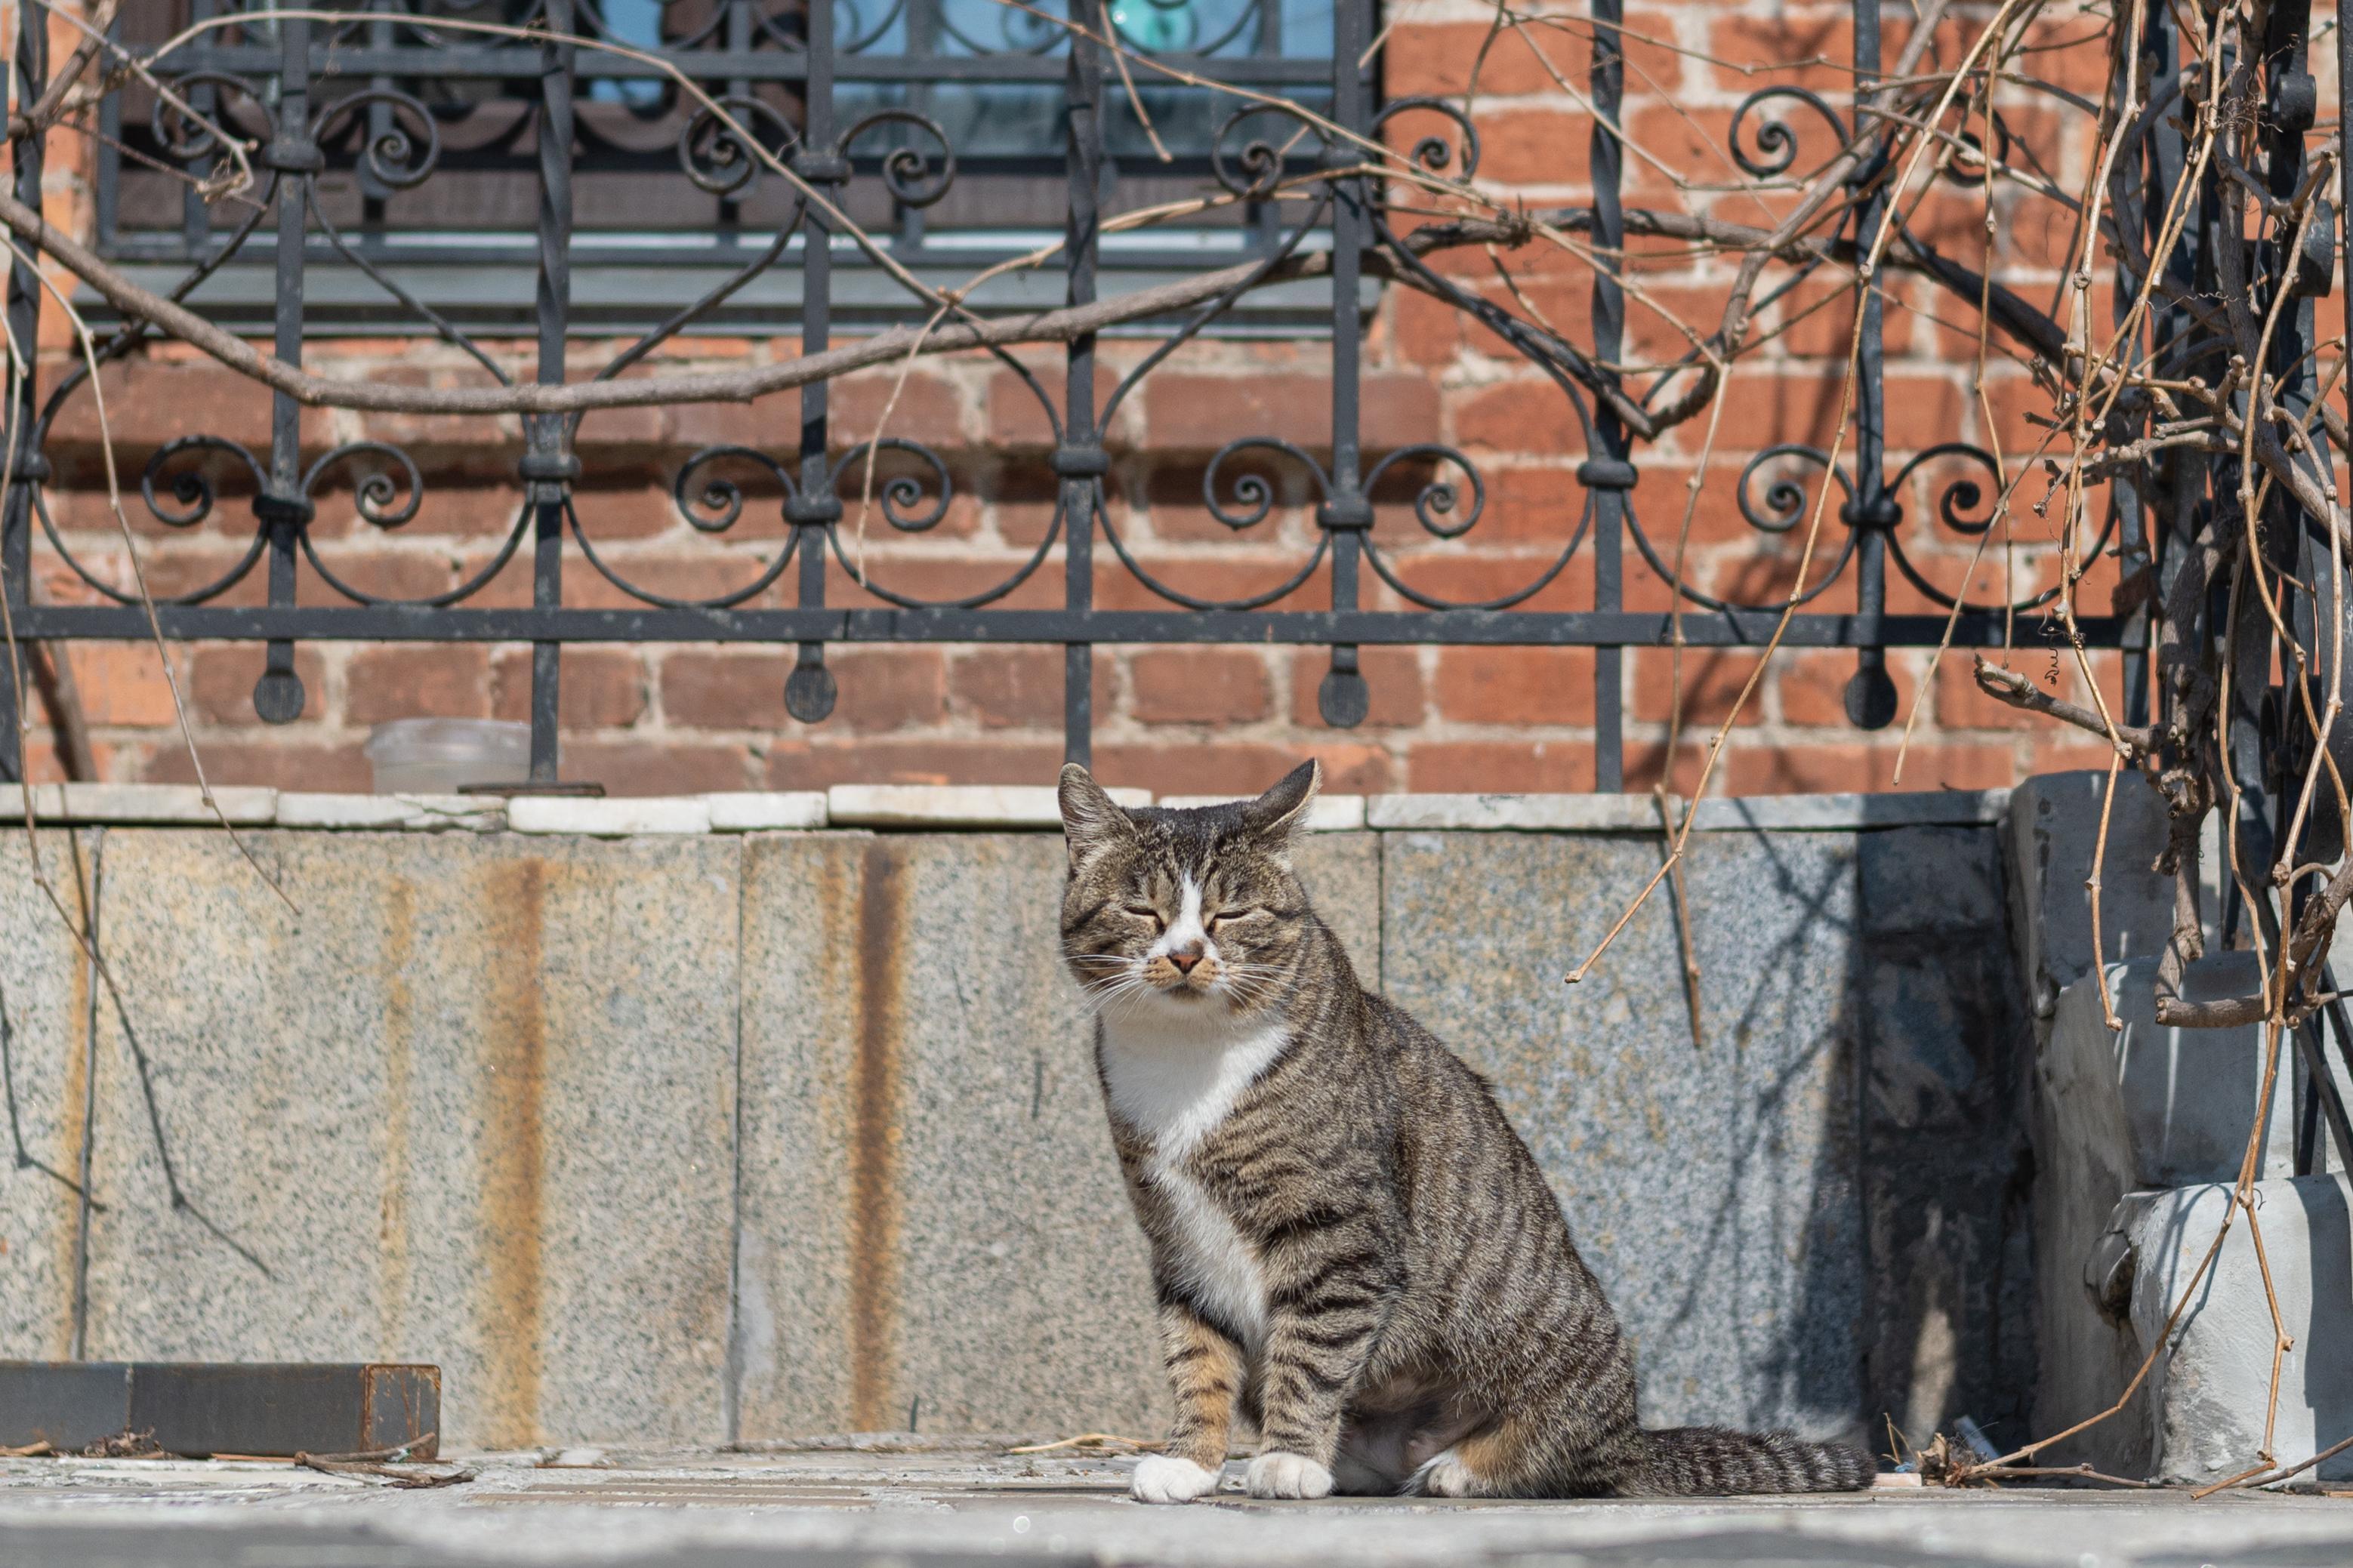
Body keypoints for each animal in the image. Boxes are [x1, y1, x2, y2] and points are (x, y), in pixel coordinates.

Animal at [1053, 766, 1873, 1504]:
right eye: (1142, 910)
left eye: (1231, 914)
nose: (1186, 954)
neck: (1186, 1058)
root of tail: (1638, 1437)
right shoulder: (1178, 1242)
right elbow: (1196, 1359)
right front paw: (1191, 1464)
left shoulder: (1340, 1233)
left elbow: (1310, 1352)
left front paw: (1287, 1460)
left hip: (1553, 1352)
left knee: (1572, 1454)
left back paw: (1458, 1466)